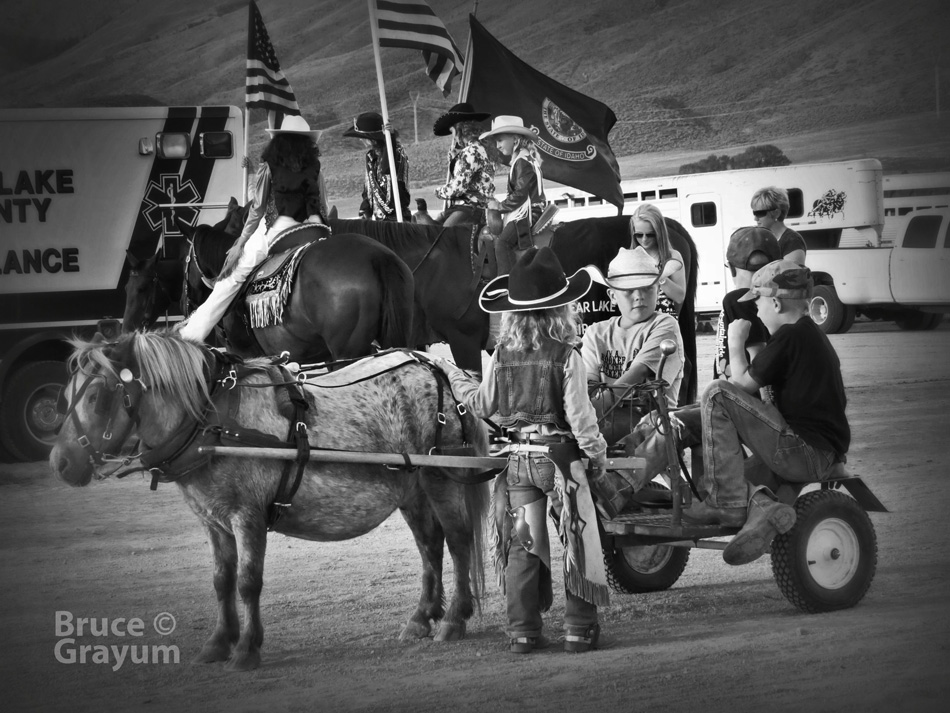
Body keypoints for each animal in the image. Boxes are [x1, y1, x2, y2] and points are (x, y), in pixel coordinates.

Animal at [46, 330, 490, 672]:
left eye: (97, 396)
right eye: (65, 396)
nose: (60, 462)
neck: (212, 420)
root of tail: (434, 365)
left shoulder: (247, 516)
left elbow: (247, 582)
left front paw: (246, 649)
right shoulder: (213, 521)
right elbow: (221, 580)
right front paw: (219, 642)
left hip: (441, 478)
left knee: (458, 541)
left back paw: (454, 619)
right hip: (411, 487)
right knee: (430, 546)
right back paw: (421, 617)